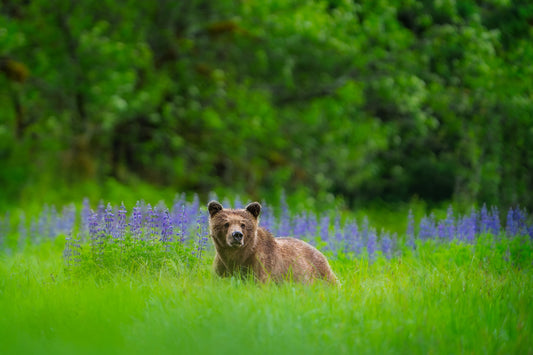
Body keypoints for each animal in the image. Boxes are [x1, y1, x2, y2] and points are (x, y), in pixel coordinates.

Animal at [207, 202, 336, 286]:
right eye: (226, 223)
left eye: (243, 224)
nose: (237, 235)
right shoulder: (221, 266)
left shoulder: (259, 264)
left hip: (319, 271)